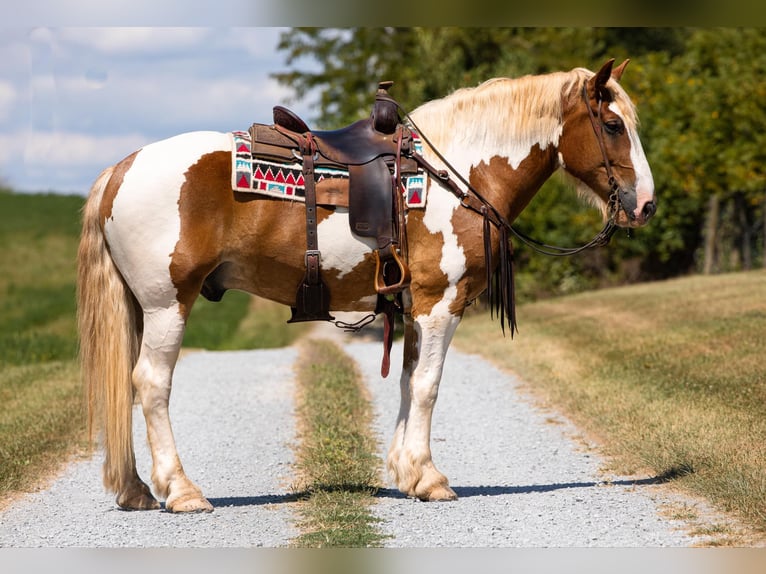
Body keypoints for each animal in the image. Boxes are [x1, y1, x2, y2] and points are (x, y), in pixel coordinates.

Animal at [77, 59, 655, 512]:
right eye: (611, 124)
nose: (646, 205)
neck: (456, 175)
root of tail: (122, 167)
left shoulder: (414, 307)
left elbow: (408, 382)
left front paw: (407, 473)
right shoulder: (440, 304)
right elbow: (428, 386)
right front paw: (430, 478)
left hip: (142, 307)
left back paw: (135, 490)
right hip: (167, 303)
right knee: (152, 384)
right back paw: (181, 490)